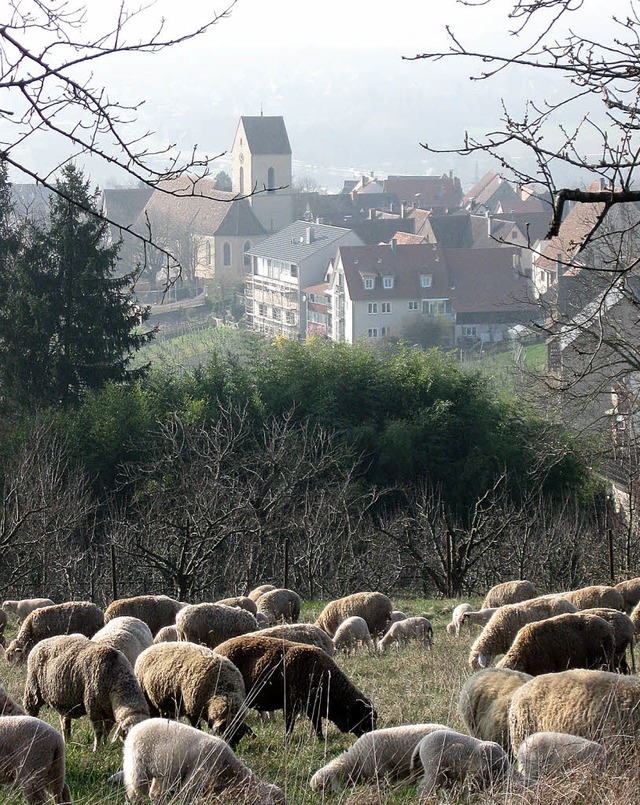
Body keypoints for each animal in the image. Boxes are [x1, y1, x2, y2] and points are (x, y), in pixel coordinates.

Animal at [120, 720, 284, 800]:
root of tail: (135, 728)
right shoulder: (199, 774)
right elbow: (187, 794)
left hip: (163, 771)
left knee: (155, 791)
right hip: (136, 764)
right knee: (136, 790)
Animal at [215, 632, 376, 740]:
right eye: (365, 718)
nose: (371, 734)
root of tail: (217, 649)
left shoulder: (311, 707)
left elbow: (316, 724)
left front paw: (320, 739)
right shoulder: (292, 705)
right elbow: (290, 725)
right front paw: (287, 741)